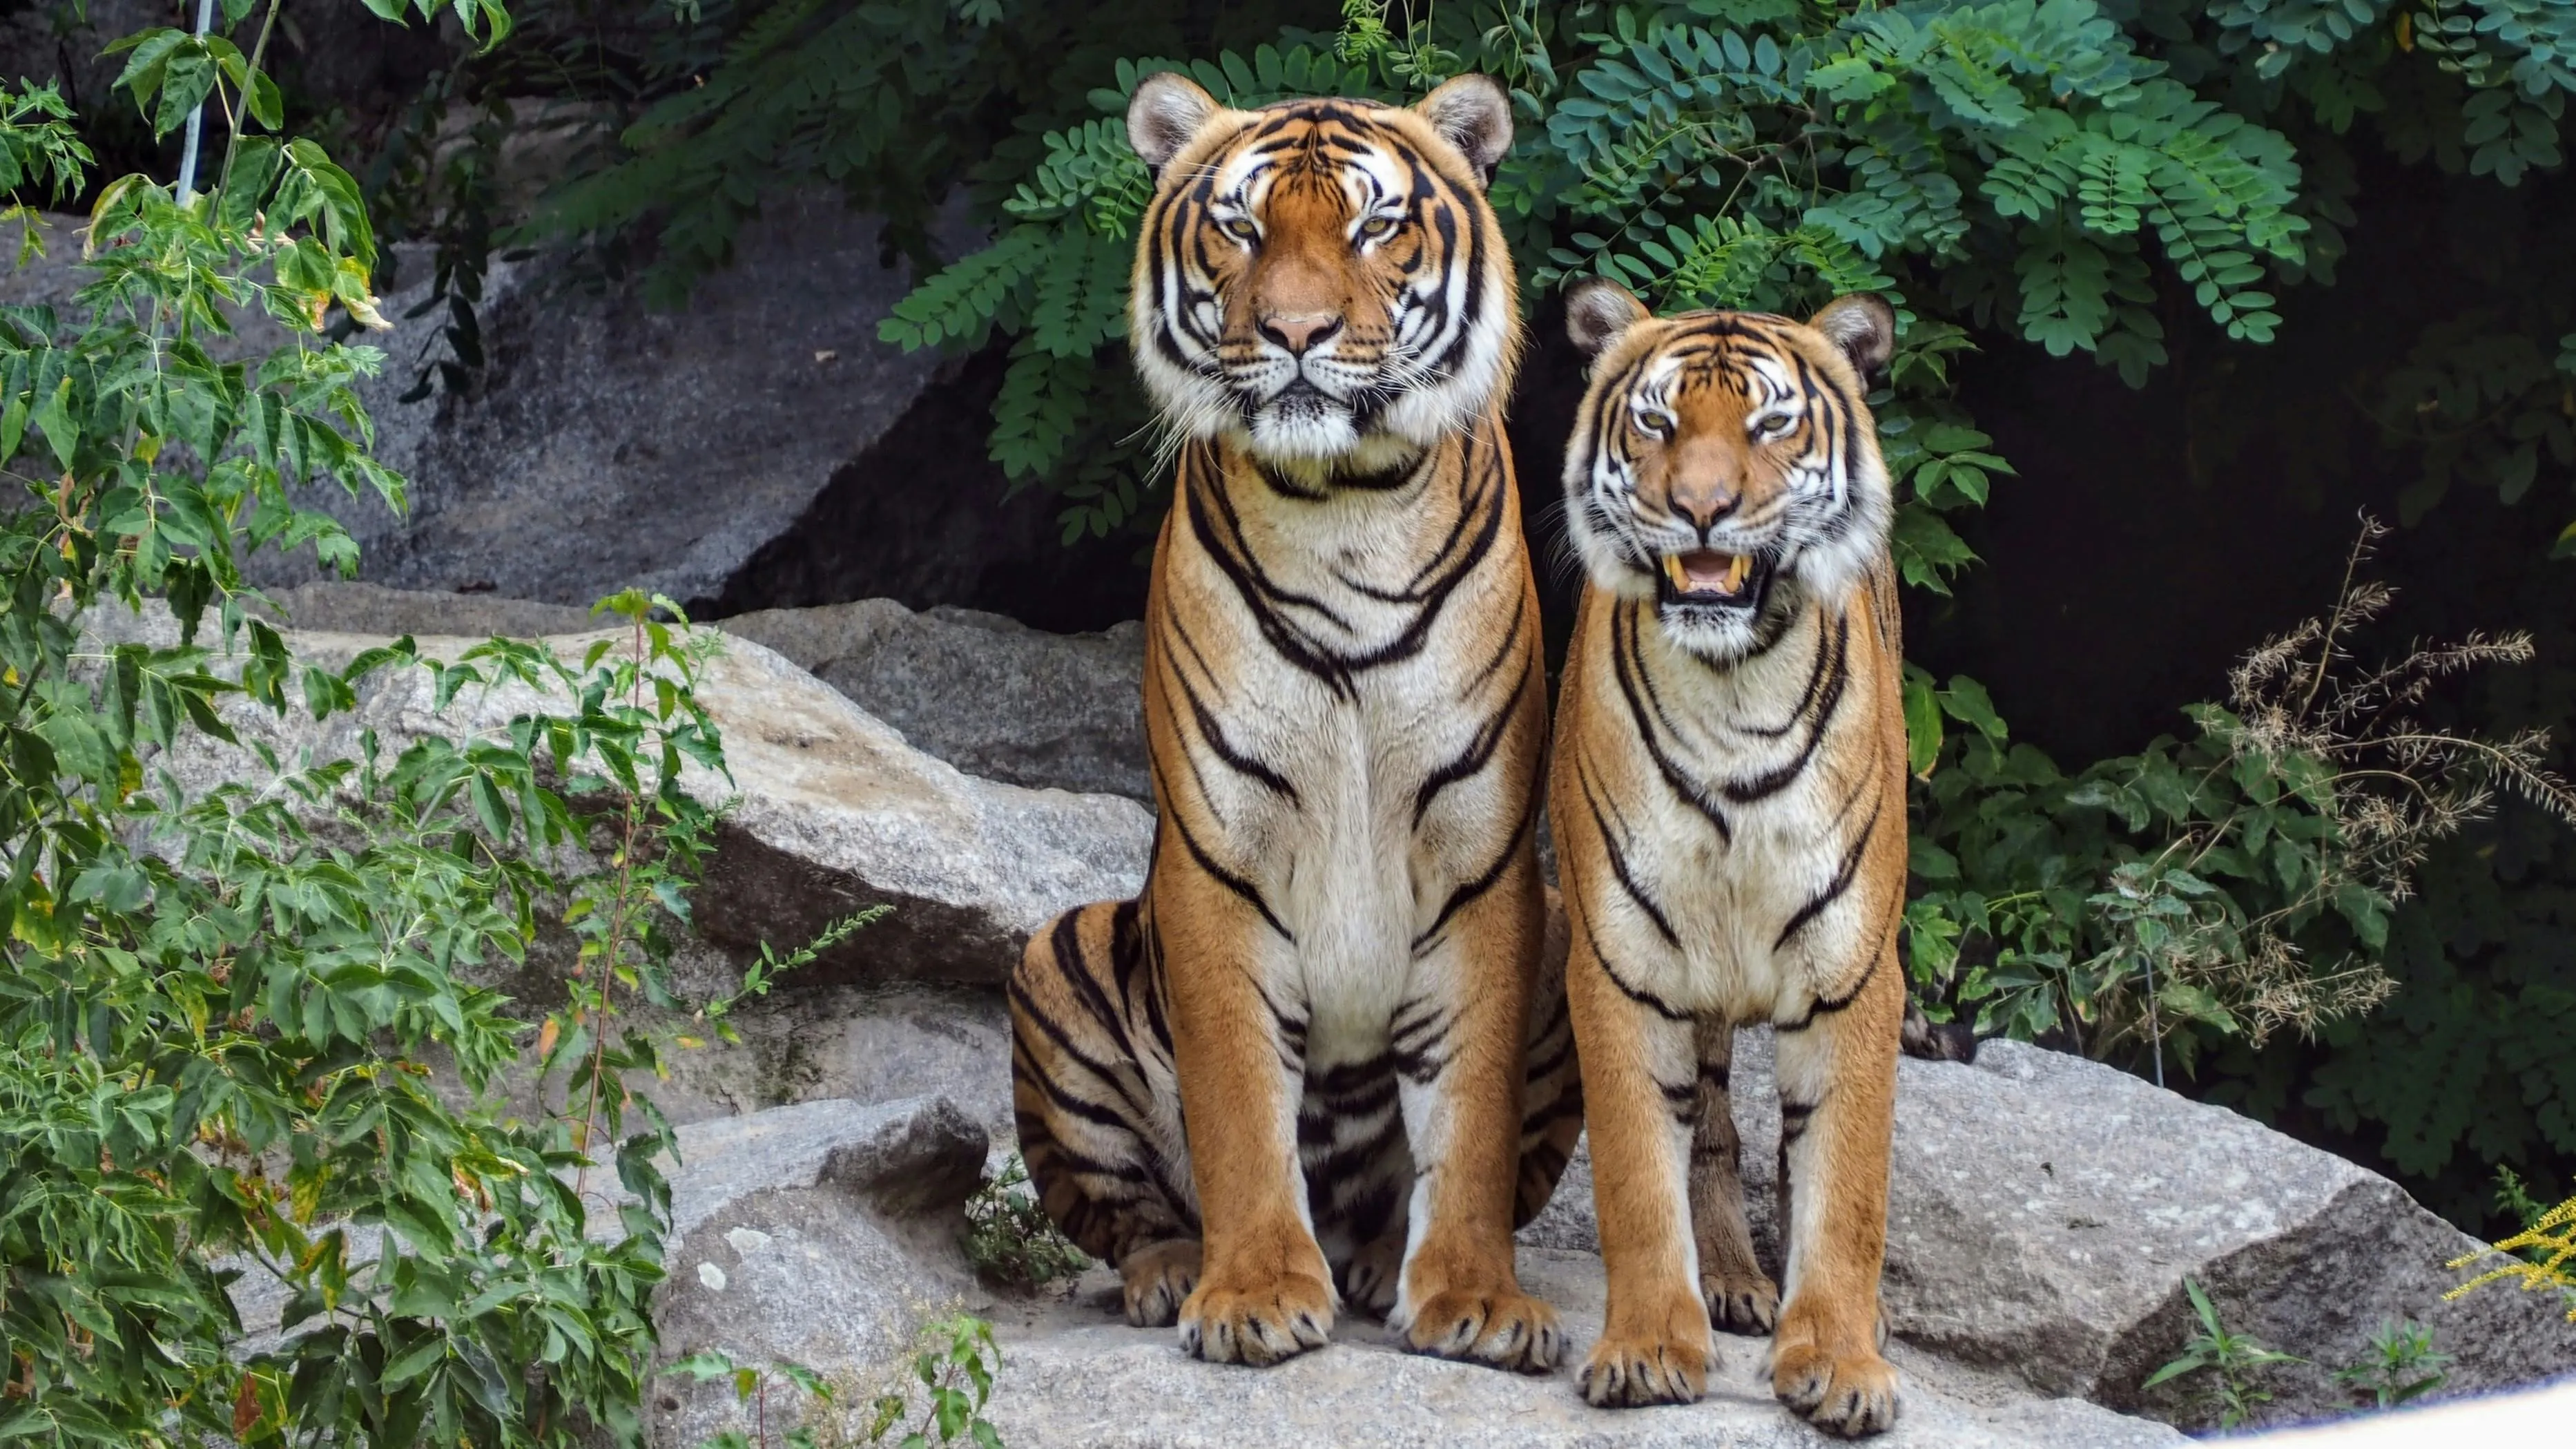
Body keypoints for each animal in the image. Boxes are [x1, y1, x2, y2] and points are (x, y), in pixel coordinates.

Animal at [1005, 71, 1582, 1373]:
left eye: (1374, 227)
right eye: (1241, 226)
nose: (1297, 333)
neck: (1344, 507)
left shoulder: (1483, 861)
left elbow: (1468, 1120)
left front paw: (1473, 1296)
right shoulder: (1218, 854)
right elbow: (1234, 1102)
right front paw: (1256, 1290)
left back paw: (1375, 1262)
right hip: (1058, 951)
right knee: (1124, 1212)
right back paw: (1175, 1270)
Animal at [1545, 278, 1915, 1436]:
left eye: (1768, 424)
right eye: (1657, 423)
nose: (1701, 508)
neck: (1731, 696)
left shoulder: (1854, 974)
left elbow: (1843, 1185)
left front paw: (1838, 1358)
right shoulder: (1618, 964)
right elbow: (1635, 1170)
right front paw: (1646, 1345)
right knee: (1708, 1129)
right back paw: (1730, 1281)